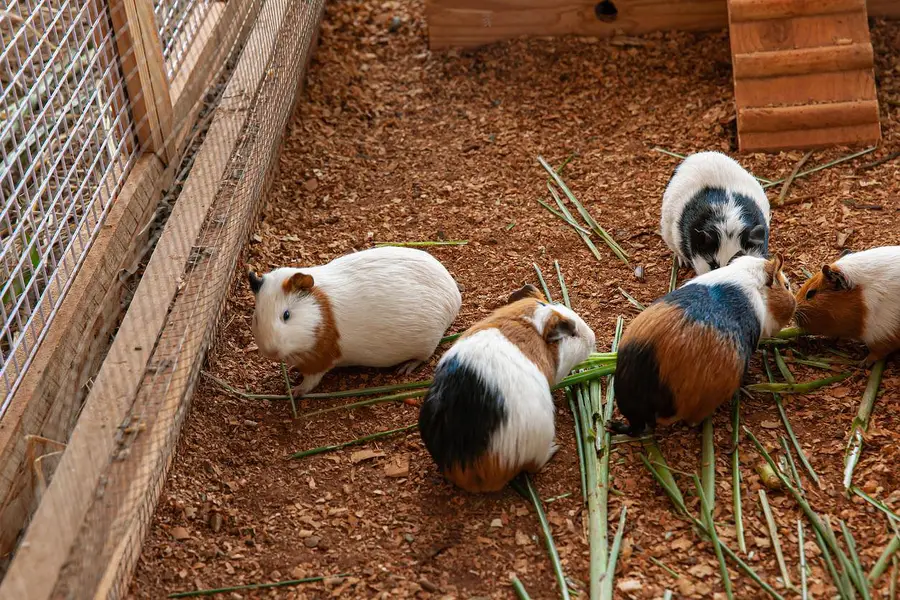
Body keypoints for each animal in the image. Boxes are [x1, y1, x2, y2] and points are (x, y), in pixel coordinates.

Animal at [248, 246, 462, 395]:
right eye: (256, 317)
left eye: (286, 315)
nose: (271, 351)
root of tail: (454, 295)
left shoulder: (321, 359)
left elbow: (310, 381)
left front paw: (294, 392)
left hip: (426, 346)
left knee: (423, 357)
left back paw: (404, 369)